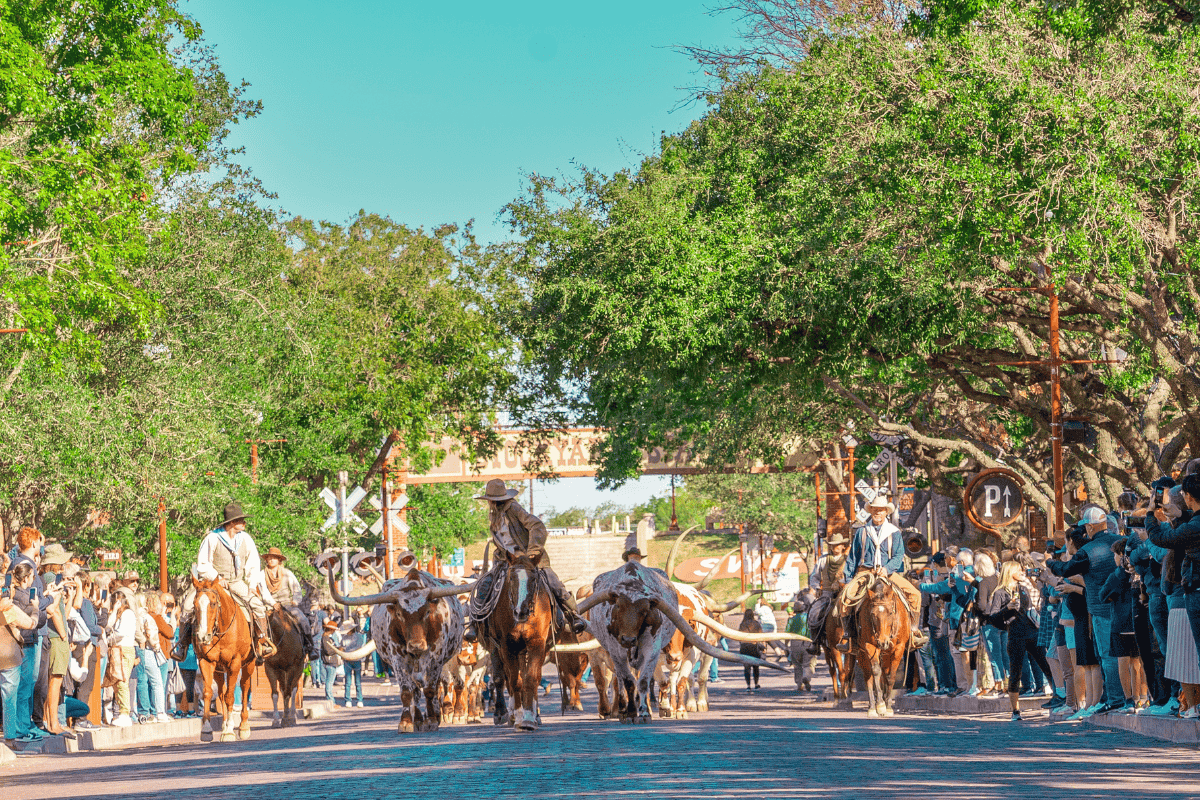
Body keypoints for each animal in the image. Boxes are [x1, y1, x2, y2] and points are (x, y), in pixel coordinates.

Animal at [189, 575, 255, 743]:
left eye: (213, 603)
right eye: (194, 604)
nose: (202, 636)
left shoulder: (235, 663)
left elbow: (230, 696)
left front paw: (230, 731)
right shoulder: (206, 662)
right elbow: (208, 693)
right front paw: (207, 729)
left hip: (248, 664)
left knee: (244, 688)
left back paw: (243, 726)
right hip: (219, 669)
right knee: (220, 692)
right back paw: (225, 724)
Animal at [477, 556, 552, 734]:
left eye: (534, 578)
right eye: (511, 578)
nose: (521, 611)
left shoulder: (537, 644)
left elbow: (531, 678)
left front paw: (529, 718)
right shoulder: (506, 646)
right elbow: (513, 681)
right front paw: (517, 716)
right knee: (504, 677)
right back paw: (505, 713)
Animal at [854, 575, 907, 719]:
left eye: (890, 613)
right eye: (872, 614)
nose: (883, 642)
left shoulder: (899, 648)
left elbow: (891, 676)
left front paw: (888, 707)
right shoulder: (869, 645)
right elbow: (876, 672)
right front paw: (880, 705)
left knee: (885, 675)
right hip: (863, 654)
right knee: (869, 677)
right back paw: (872, 707)